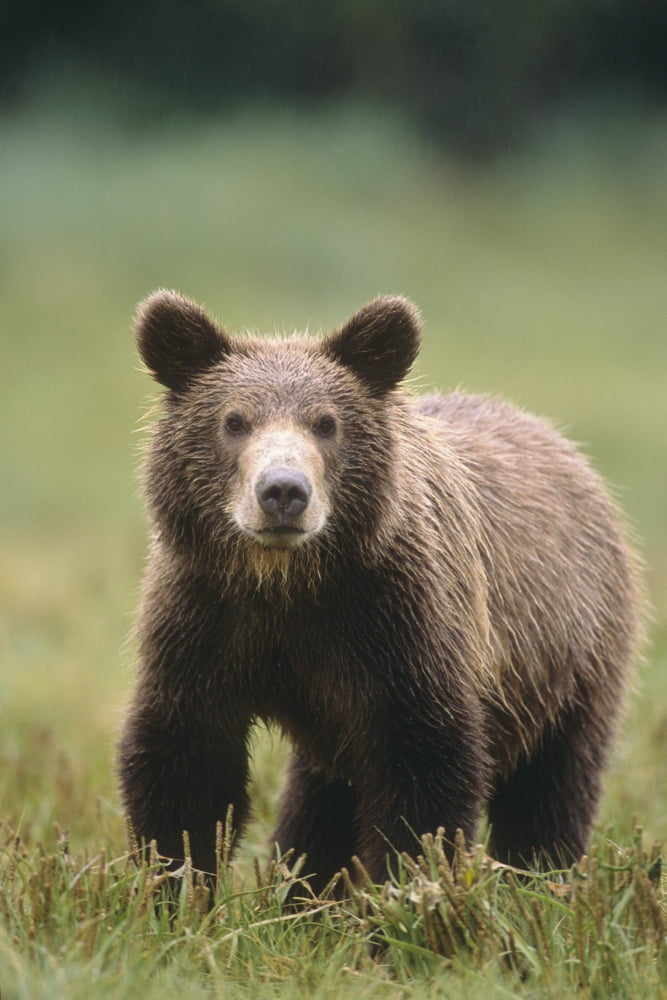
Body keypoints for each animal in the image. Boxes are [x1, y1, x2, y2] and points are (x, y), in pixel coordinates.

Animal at [118, 289, 643, 889]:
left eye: (326, 423)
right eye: (234, 420)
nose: (283, 491)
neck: (288, 584)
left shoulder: (399, 627)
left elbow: (424, 775)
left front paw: (406, 890)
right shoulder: (206, 621)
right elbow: (186, 766)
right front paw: (176, 887)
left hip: (569, 656)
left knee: (552, 785)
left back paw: (540, 876)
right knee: (321, 798)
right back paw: (304, 887)